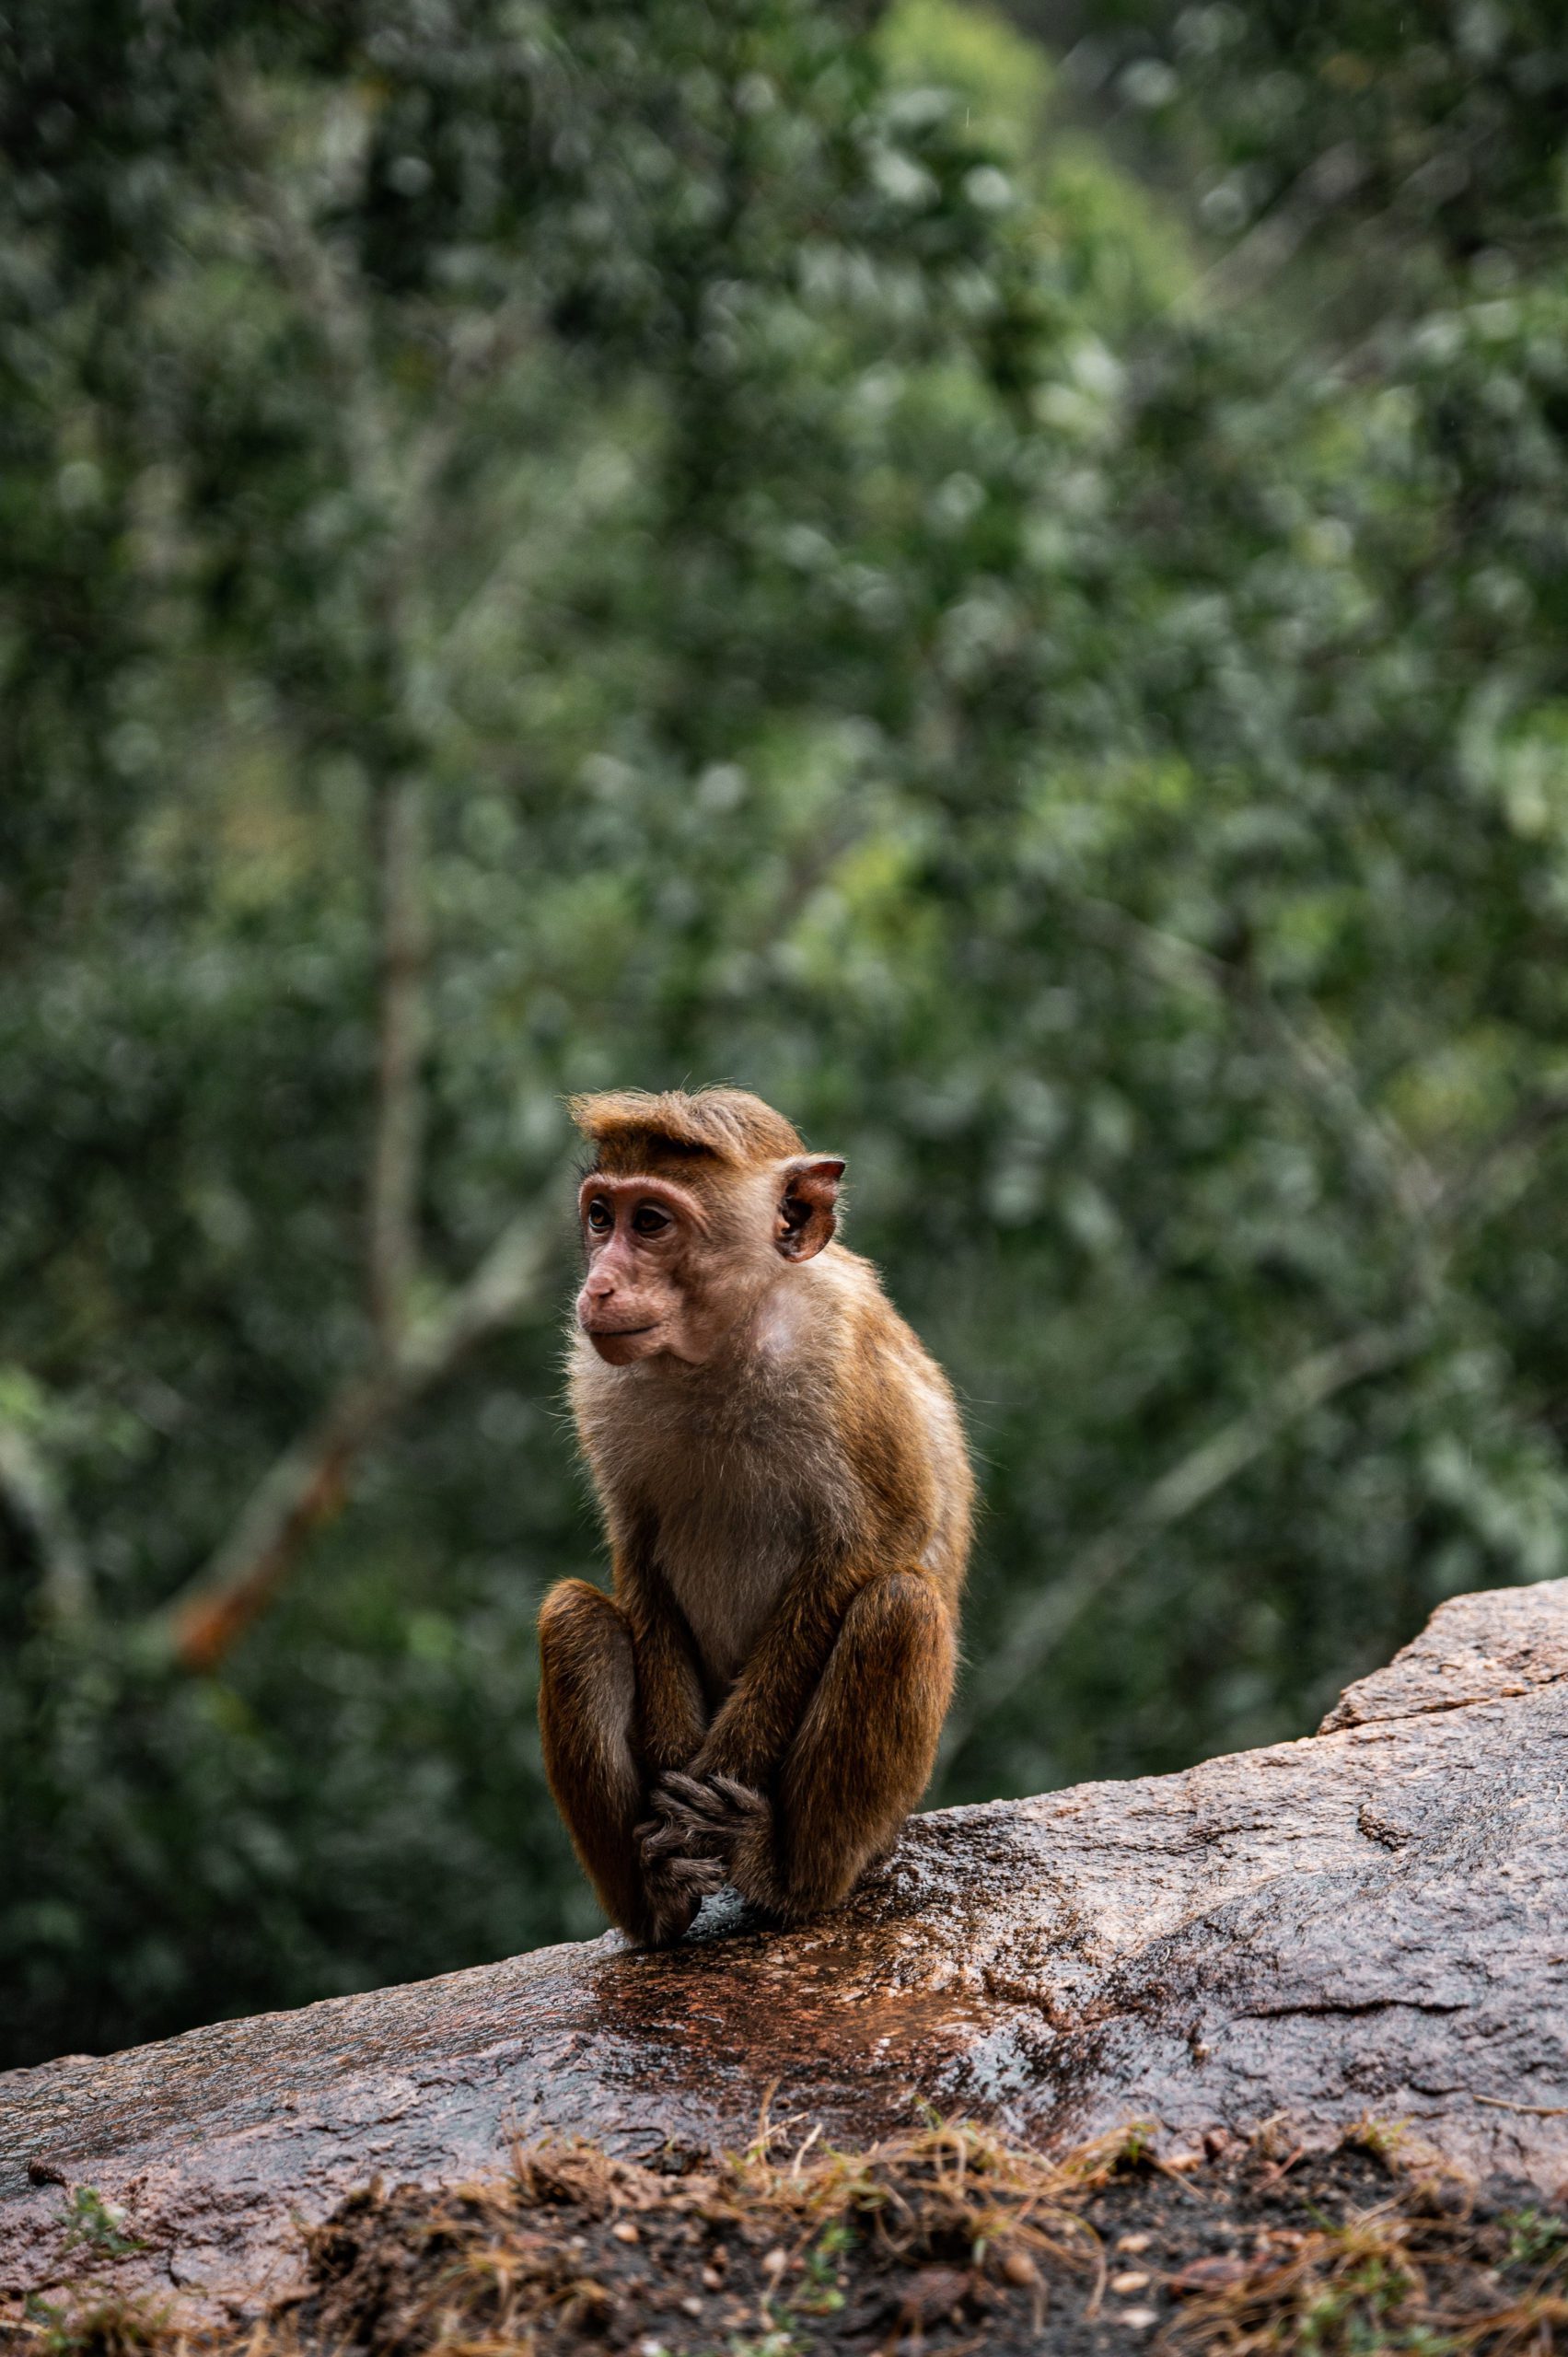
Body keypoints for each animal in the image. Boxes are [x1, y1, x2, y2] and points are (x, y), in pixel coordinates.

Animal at [537, 1084, 966, 1951]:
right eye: (600, 1216)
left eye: (651, 1223)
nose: (598, 1286)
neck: (719, 1348)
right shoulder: (598, 1383)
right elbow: (636, 1551)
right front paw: (674, 1759)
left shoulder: (847, 1364)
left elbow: (877, 1545)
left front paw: (725, 1764)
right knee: (572, 1616)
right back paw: (657, 1899)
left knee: (899, 1607)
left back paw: (779, 1871)